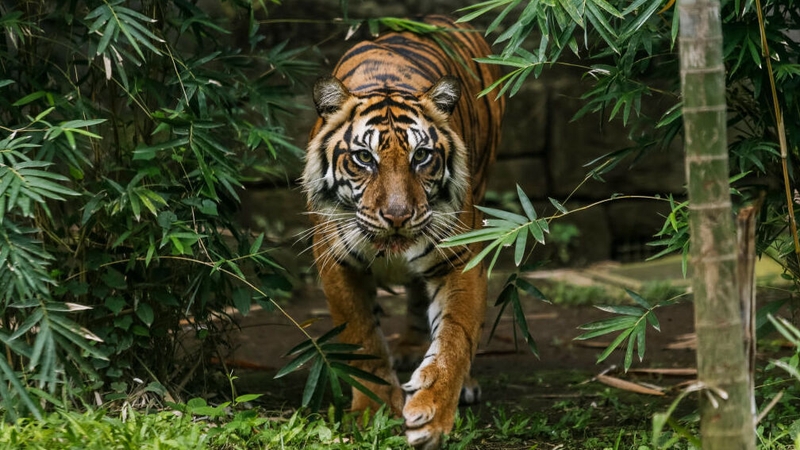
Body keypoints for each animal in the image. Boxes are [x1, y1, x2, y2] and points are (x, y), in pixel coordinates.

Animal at [300, 15, 505, 449]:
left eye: (421, 156)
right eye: (364, 158)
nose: (398, 216)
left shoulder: (462, 258)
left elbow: (456, 338)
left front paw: (431, 415)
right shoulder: (336, 263)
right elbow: (363, 338)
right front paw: (373, 411)